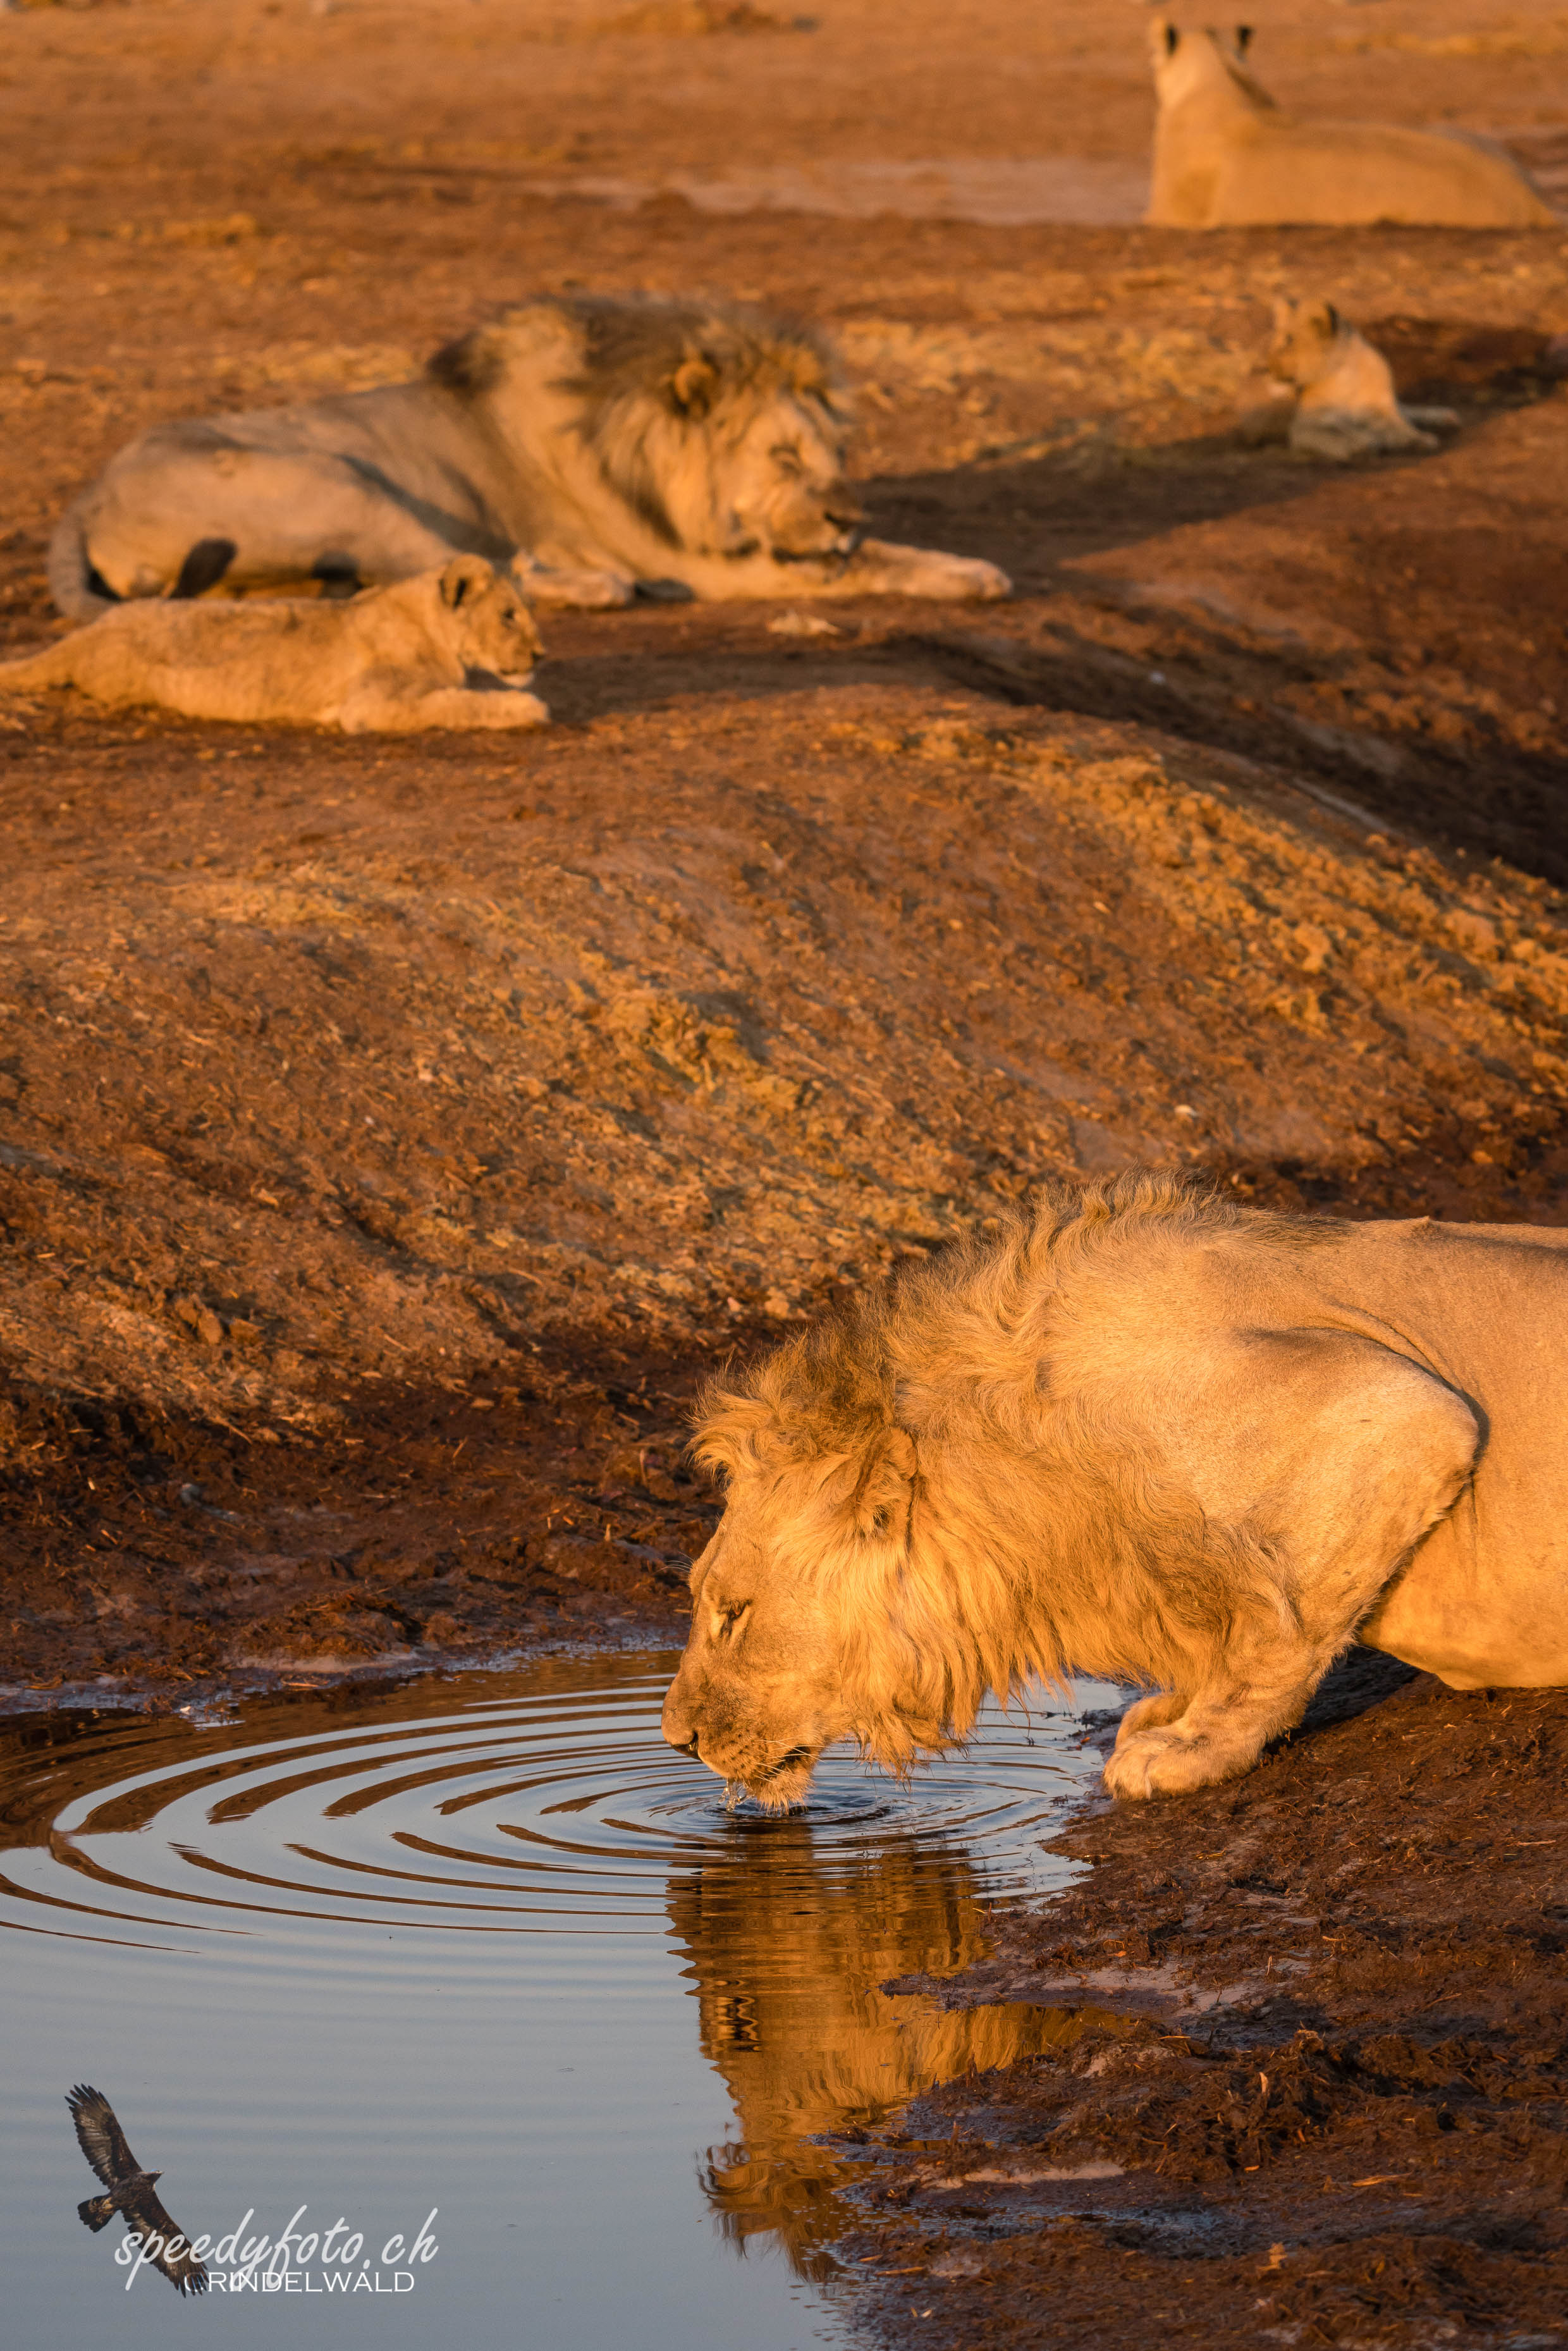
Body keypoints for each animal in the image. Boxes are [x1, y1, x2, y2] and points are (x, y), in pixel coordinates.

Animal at [0, 552, 552, 728]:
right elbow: (456, 702)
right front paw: (528, 709)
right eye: (509, 615)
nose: (541, 655)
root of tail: (91, 630)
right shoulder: (370, 705)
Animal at [49, 290, 1010, 625]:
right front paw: (971, 572)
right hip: (339, 478)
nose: (847, 510)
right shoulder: (712, 559)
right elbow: (863, 566)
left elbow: (872, 554)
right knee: (460, 569)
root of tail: (86, 495)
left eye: (836, 452)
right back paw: (591, 581)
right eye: (780, 456)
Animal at [663, 1170, 1568, 1796]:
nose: (677, 1739)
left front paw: (1190, 1747)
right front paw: (1168, 1709)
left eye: (731, 1614)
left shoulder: (1401, 1417)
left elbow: (1275, 1631)